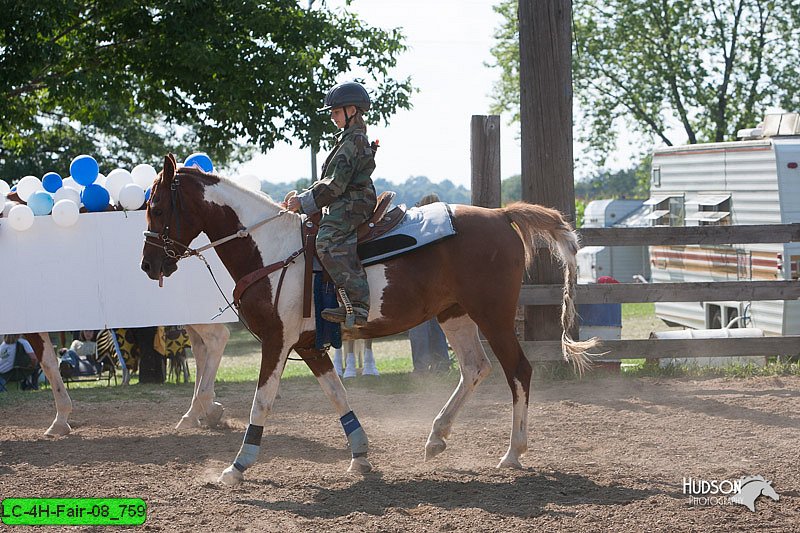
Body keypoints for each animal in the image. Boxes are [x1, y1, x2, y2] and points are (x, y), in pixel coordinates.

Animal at [25, 322, 228, 438]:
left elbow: (48, 364)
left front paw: (59, 421)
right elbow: (50, 362)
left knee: (216, 338)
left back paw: (206, 406)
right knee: (200, 348)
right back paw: (196, 414)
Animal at [141, 155, 596, 486]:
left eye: (158, 207)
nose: (148, 265)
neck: (272, 249)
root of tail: (501, 216)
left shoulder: (277, 340)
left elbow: (262, 401)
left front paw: (238, 466)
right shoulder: (308, 346)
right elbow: (338, 394)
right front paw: (360, 457)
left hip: (494, 316)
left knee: (517, 370)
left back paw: (513, 452)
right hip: (454, 315)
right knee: (474, 368)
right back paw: (436, 437)